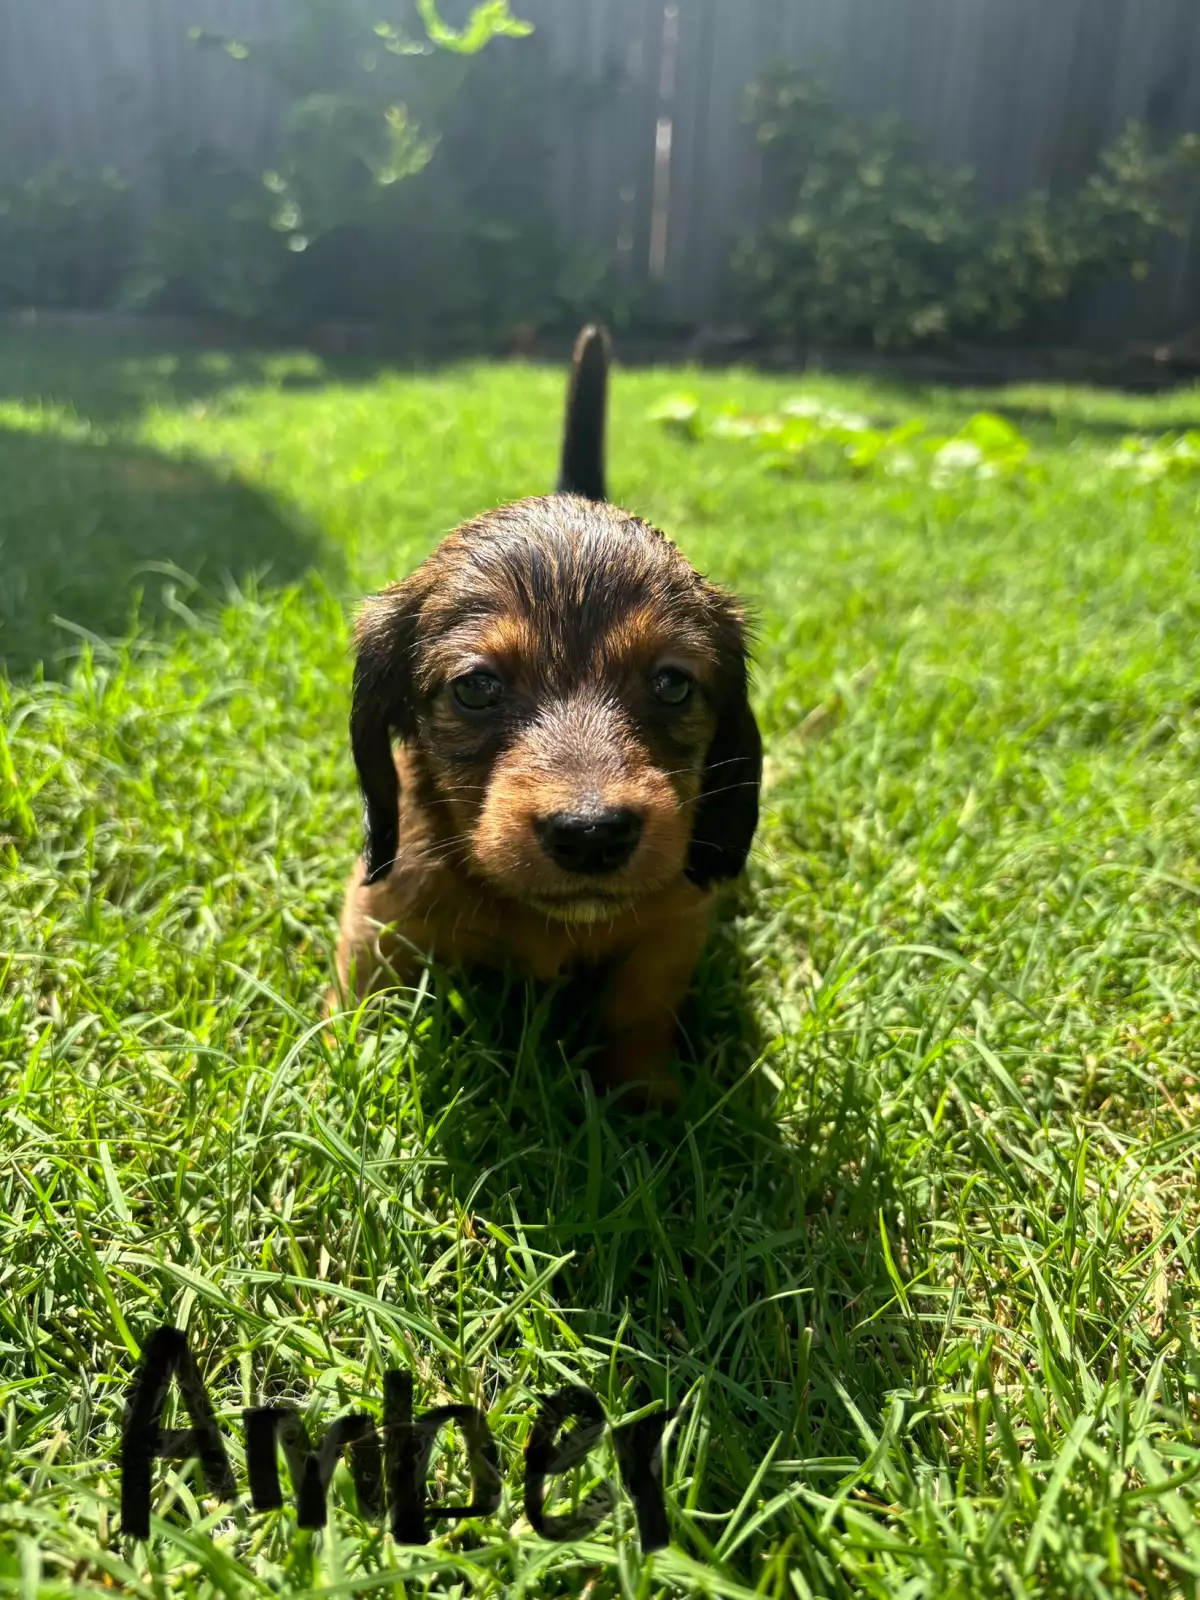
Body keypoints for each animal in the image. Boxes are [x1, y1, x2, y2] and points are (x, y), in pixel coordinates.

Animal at [332, 326, 761, 1110]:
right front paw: (342, 1074)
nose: (592, 835)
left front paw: (647, 1102)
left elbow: (637, 1010)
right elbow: (360, 1001)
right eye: (476, 688)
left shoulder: (673, 924)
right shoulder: (379, 912)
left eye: (673, 684)